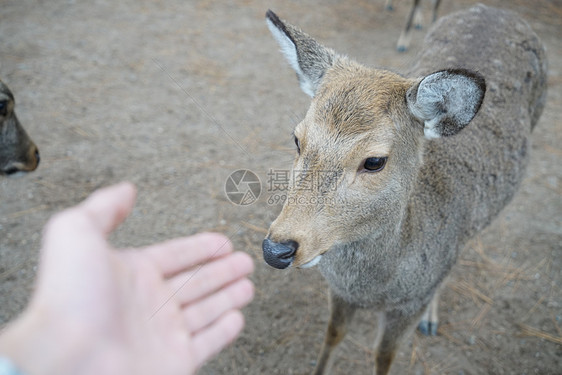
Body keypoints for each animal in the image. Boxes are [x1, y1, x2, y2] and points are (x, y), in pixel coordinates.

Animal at [260, 3, 544, 375]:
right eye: (297, 138)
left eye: (374, 161)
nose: (276, 249)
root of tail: (498, 10)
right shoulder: (340, 291)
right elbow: (333, 333)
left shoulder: (410, 302)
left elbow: (384, 355)